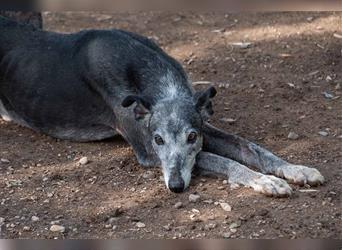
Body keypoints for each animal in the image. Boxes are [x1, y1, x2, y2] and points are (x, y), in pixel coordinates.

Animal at [0, 16, 326, 197]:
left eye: (191, 136)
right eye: (158, 140)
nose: (176, 186)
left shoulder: (203, 124)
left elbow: (253, 149)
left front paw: (295, 169)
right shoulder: (147, 151)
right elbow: (225, 161)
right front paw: (265, 181)